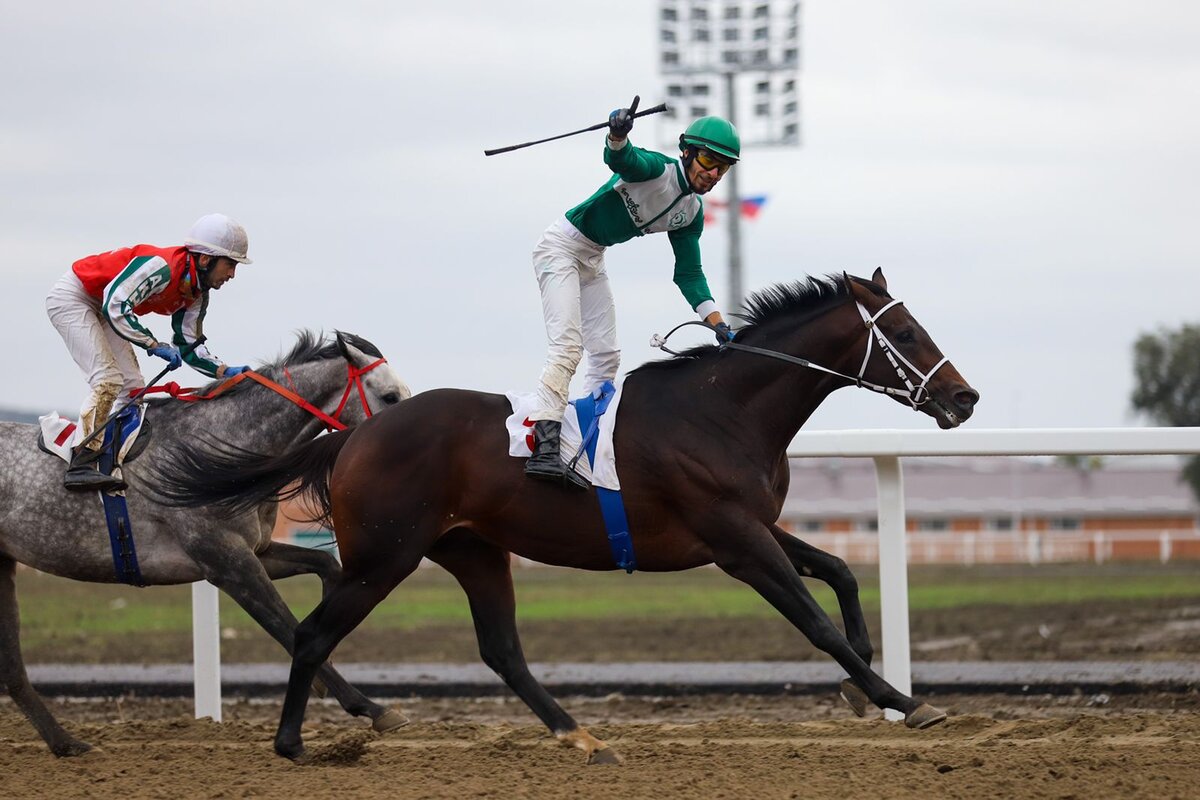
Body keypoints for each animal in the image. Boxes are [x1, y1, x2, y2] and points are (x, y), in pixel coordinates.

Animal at [1, 331, 412, 758]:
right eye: (390, 396)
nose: (406, 435)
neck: (219, 450)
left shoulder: (256, 549)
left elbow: (326, 566)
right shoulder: (226, 561)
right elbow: (285, 625)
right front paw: (370, 707)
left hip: (4, 565)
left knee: (12, 669)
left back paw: (66, 743)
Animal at [154, 271, 979, 762]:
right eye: (907, 334)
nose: (965, 398)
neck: (720, 409)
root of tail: (353, 433)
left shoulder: (748, 525)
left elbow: (840, 571)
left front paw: (865, 681)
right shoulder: (735, 540)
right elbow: (813, 620)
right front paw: (903, 700)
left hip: (473, 550)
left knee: (500, 649)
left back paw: (579, 735)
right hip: (384, 557)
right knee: (312, 633)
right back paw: (294, 742)